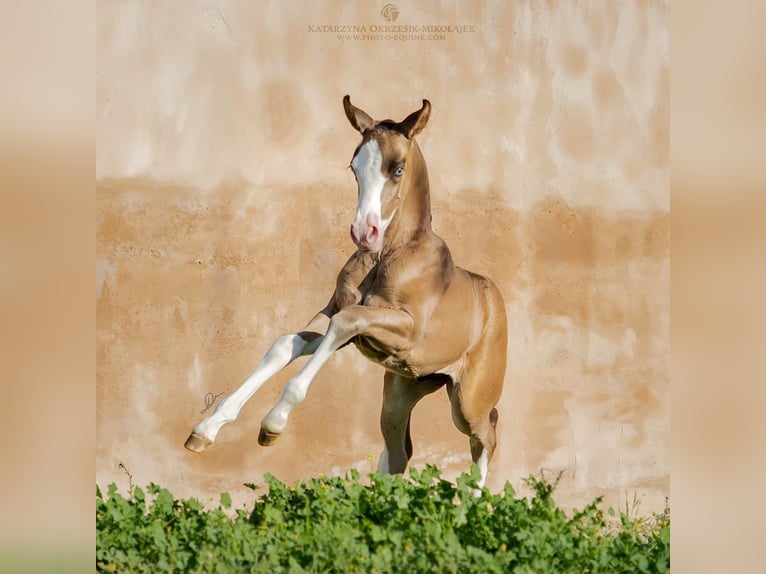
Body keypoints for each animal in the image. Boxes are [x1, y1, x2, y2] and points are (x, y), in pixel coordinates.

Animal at [184, 95, 510, 490]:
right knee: (400, 451)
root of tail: (494, 299)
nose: (364, 232)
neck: (387, 256)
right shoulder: (345, 323)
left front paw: (273, 423)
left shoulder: (406, 330)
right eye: (354, 167)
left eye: (397, 169)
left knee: (487, 434)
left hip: (467, 401)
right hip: (400, 394)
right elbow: (287, 343)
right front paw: (206, 429)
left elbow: (347, 320)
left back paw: (473, 501)